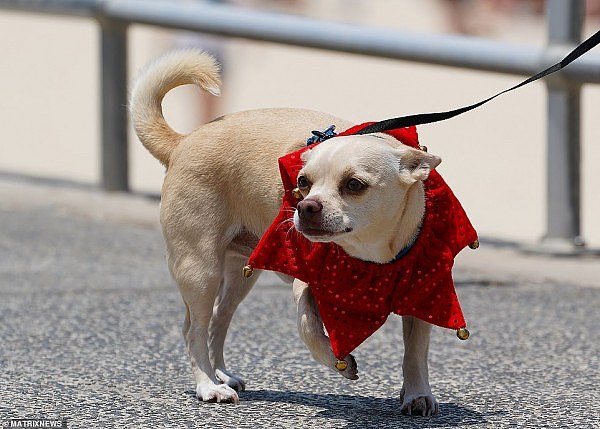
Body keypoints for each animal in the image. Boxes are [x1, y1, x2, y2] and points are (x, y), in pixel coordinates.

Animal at [130, 50, 440, 414]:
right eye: (302, 182)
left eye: (354, 185)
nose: (305, 207)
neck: (367, 254)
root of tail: (183, 141)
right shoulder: (305, 284)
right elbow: (308, 327)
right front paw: (339, 361)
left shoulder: (421, 297)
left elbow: (415, 352)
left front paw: (417, 394)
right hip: (200, 269)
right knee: (194, 329)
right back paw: (209, 385)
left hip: (239, 273)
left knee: (218, 320)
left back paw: (222, 375)